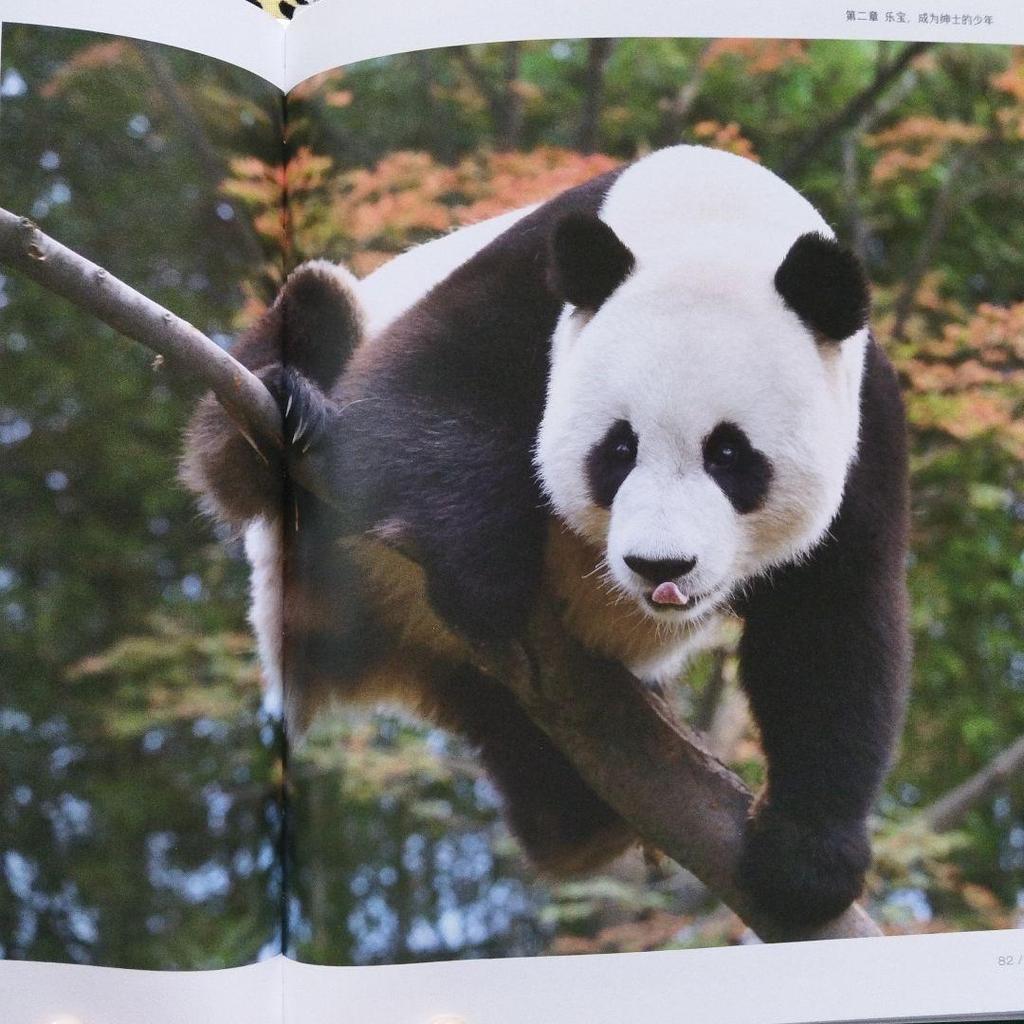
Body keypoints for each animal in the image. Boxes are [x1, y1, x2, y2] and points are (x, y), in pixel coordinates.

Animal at [181, 145, 911, 927]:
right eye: (618, 449)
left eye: (730, 456)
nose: (660, 565)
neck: (714, 219)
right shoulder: (530, 288)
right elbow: (410, 396)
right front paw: (484, 575)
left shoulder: (862, 418)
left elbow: (829, 625)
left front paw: (805, 864)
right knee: (307, 322)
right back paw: (287, 412)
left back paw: (584, 825)